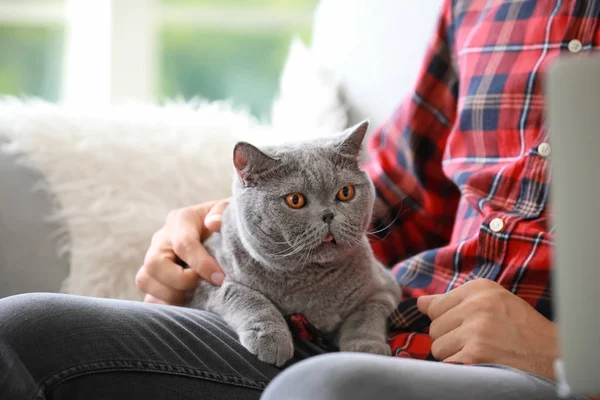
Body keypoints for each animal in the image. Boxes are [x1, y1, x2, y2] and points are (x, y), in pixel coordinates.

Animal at [190, 121, 400, 366]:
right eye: (295, 200)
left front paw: (367, 348)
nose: (328, 215)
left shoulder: (386, 288)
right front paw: (271, 338)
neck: (309, 282)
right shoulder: (205, 283)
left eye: (346, 192)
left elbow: (367, 314)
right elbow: (244, 294)